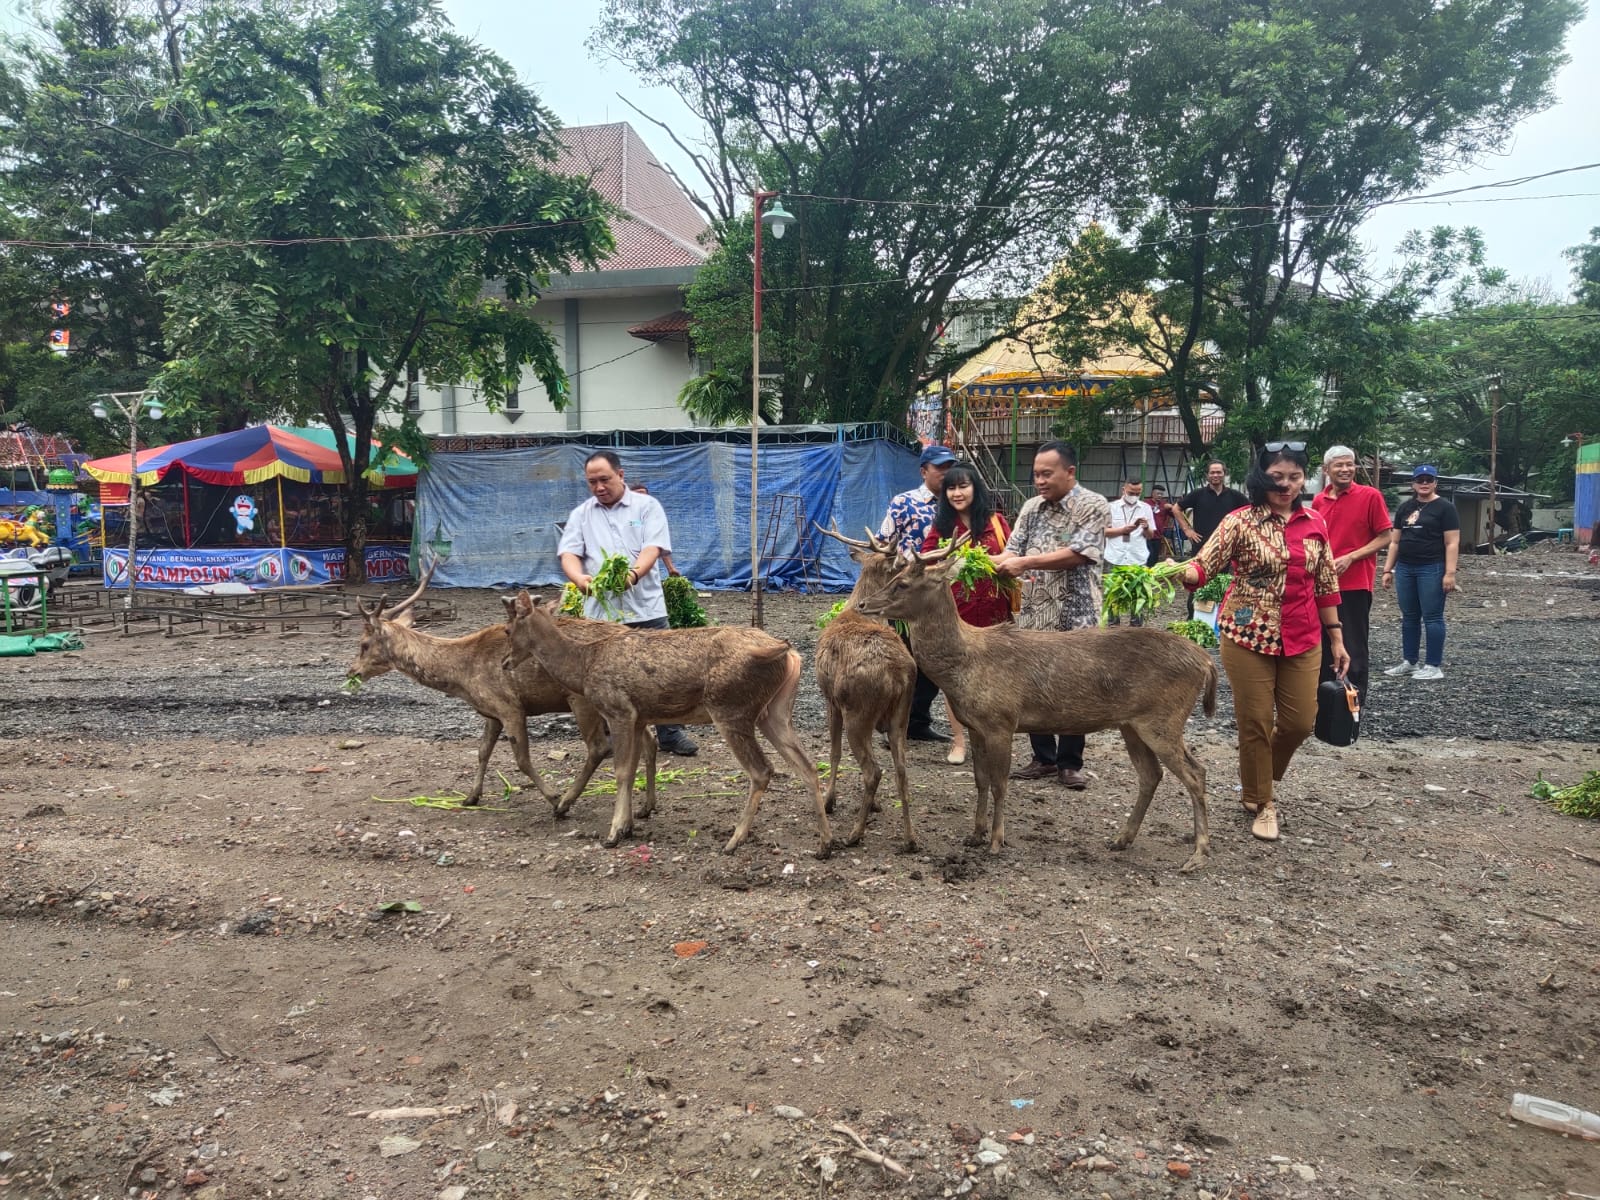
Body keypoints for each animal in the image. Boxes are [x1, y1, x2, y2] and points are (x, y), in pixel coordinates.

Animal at [350, 569, 649, 812]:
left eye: (363, 644)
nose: (351, 672)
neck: (461, 676)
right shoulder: (490, 712)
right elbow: (483, 751)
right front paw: (471, 797)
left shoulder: (510, 706)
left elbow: (522, 759)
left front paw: (552, 796)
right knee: (646, 741)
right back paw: (645, 806)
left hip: (582, 701)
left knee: (599, 747)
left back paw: (566, 803)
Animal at [819, 528, 921, 857]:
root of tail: (897, 672)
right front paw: (875, 806)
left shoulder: (831, 699)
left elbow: (834, 752)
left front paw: (829, 800)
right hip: (901, 713)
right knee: (900, 769)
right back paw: (910, 838)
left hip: (859, 711)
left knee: (873, 770)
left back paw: (854, 834)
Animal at [864, 537, 1209, 876]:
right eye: (894, 577)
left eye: (902, 583)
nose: (865, 604)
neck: (965, 666)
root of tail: (1205, 662)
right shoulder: (976, 725)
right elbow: (980, 780)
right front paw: (974, 835)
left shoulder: (1001, 721)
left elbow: (1000, 784)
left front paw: (996, 842)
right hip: (1133, 725)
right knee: (1152, 775)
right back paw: (1122, 839)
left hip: (1163, 718)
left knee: (1195, 773)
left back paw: (1196, 855)